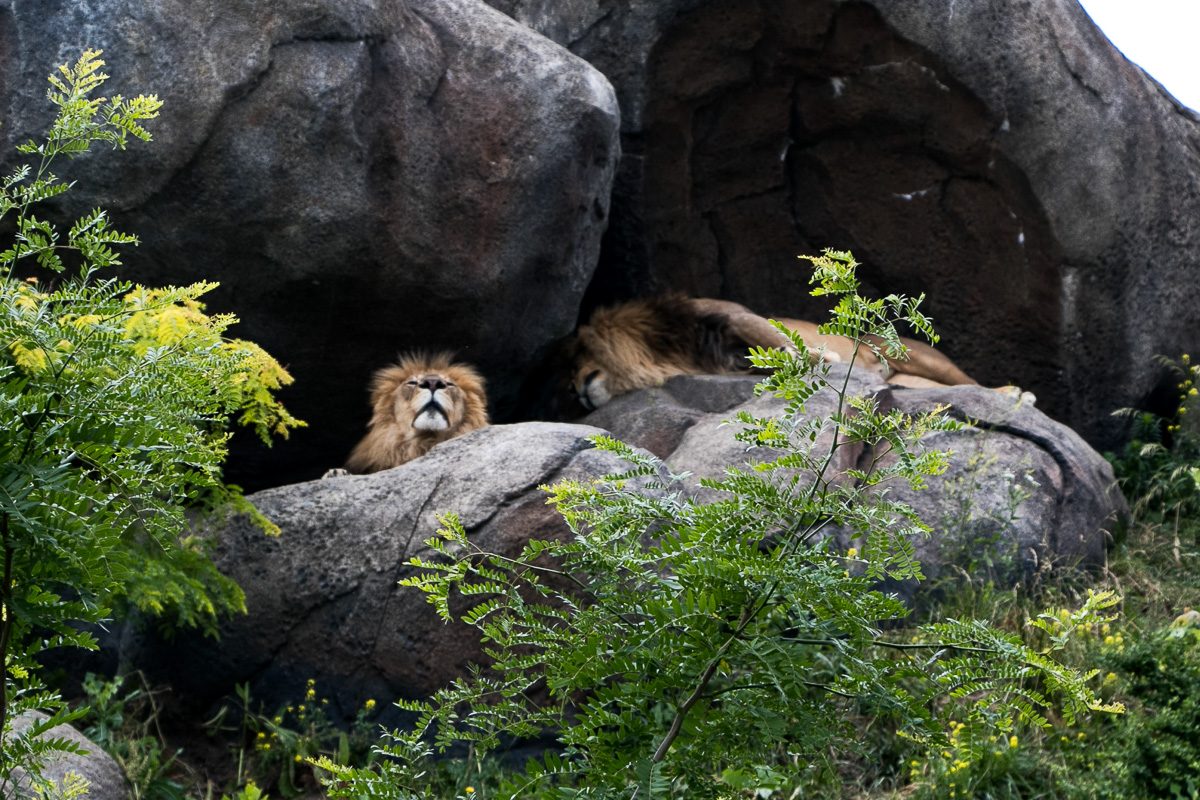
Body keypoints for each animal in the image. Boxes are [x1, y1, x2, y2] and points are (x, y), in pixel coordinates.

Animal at [569, 295, 1018, 410]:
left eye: (578, 359)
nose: (575, 390)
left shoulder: (733, 316)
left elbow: (776, 341)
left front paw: (820, 358)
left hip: (915, 354)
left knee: (968, 381)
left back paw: (1013, 393)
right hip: (910, 377)